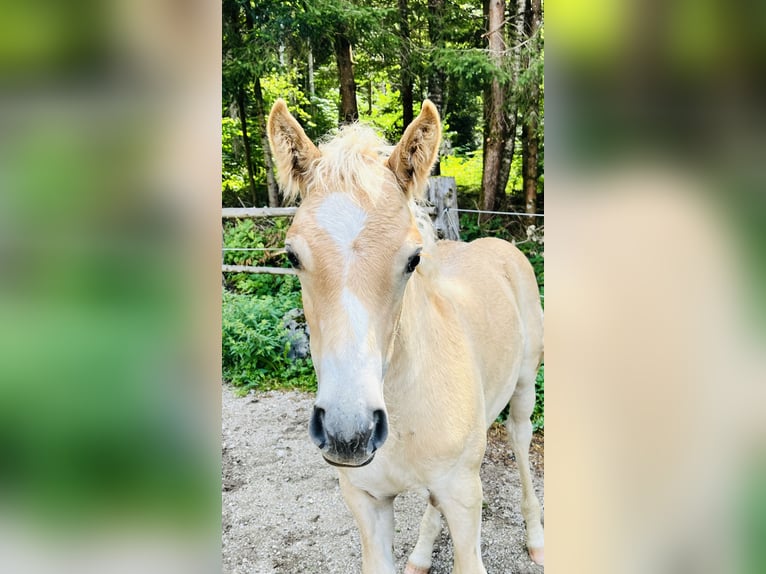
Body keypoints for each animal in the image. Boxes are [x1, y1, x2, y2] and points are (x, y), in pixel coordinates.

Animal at [267, 99, 544, 574]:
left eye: (413, 258)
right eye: (292, 256)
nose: (348, 432)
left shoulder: (465, 498)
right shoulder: (366, 500)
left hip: (525, 388)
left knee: (521, 441)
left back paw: (537, 537)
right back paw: (419, 554)